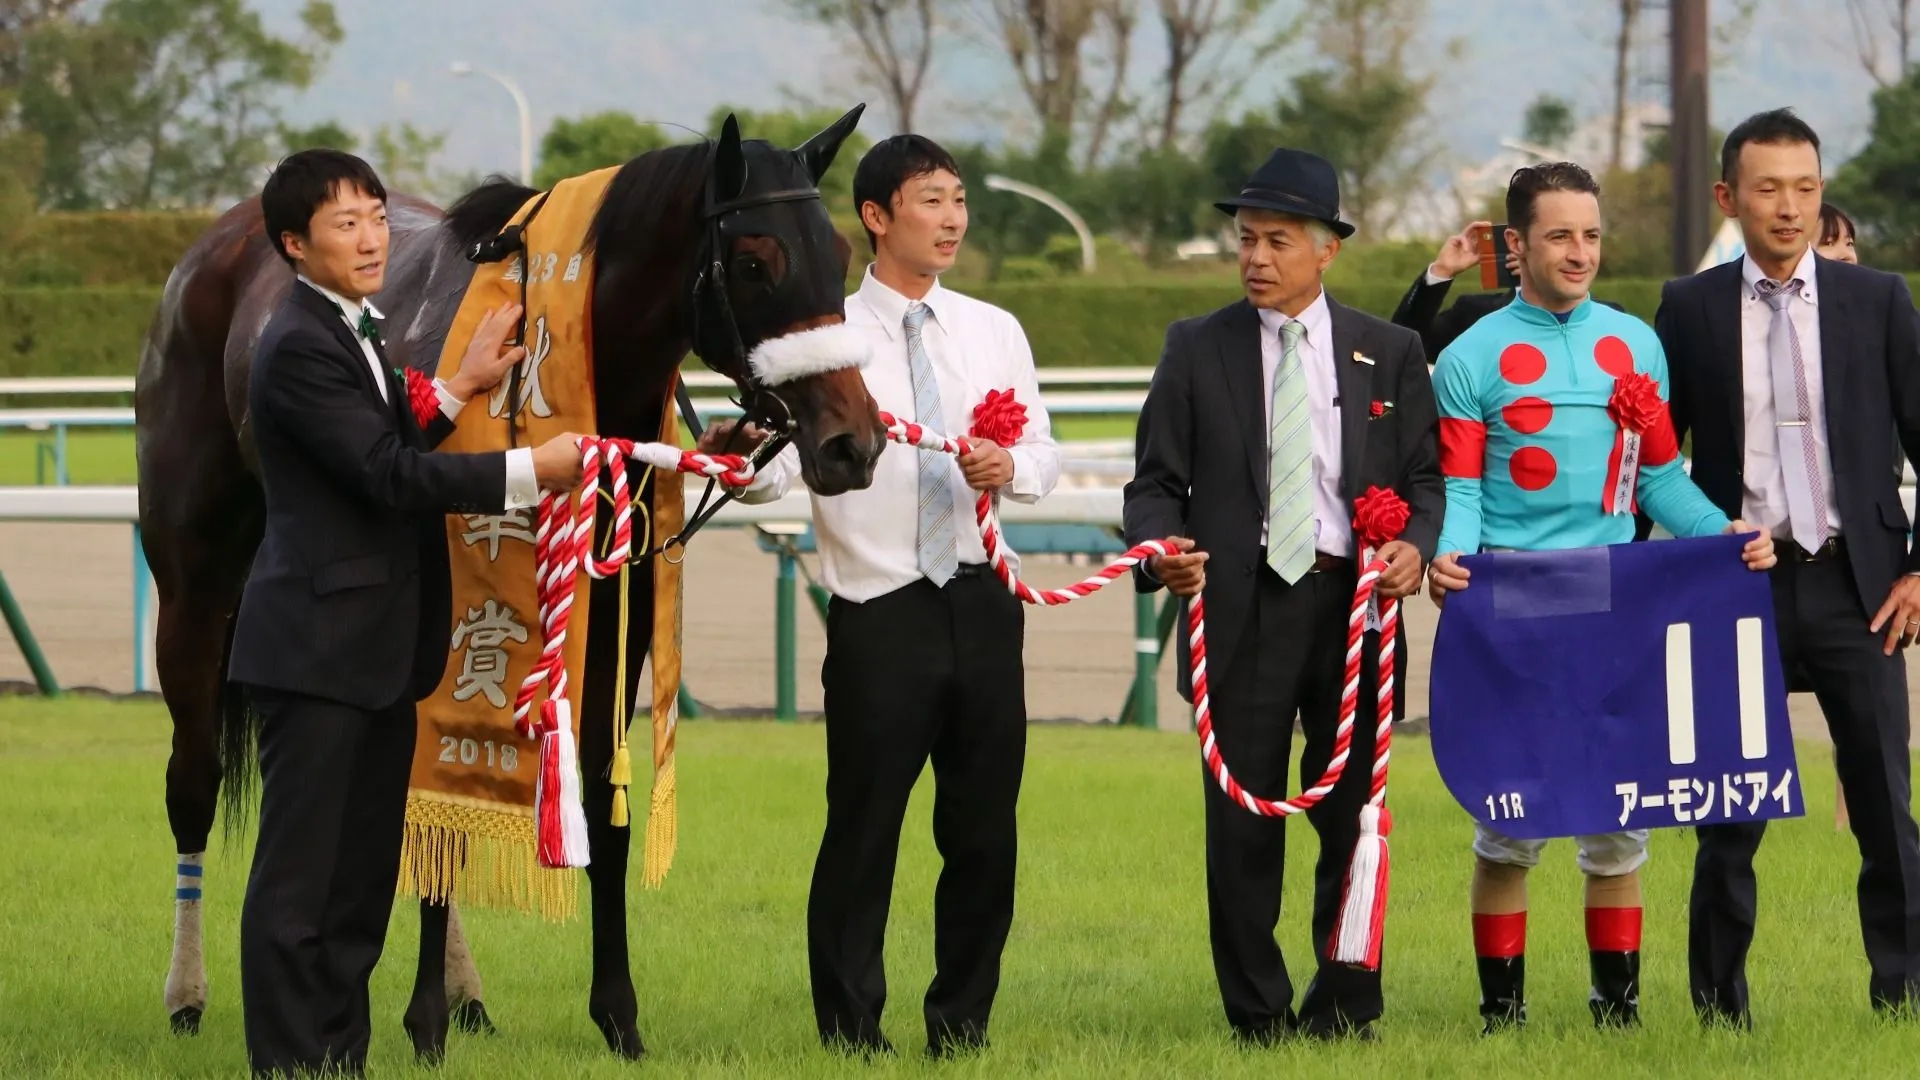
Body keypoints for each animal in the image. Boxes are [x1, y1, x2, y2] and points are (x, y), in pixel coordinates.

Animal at [139, 105, 887, 1053]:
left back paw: (466, 990)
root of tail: (212, 249)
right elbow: (434, 812)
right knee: (193, 779)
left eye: (840, 251)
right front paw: (422, 1021)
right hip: (195, 585)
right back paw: (186, 992)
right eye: (755, 261)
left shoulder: (612, 610)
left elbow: (591, 795)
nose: (853, 444)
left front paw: (617, 1017)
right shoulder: (452, 615)